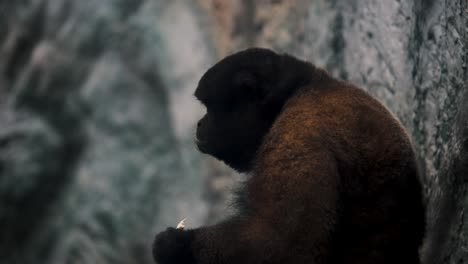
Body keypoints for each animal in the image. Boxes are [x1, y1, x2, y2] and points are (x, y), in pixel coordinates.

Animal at [152, 48, 426, 264]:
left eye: (211, 108)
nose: (200, 124)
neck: (297, 90)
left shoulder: (297, 136)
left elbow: (285, 244)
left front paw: (174, 245)